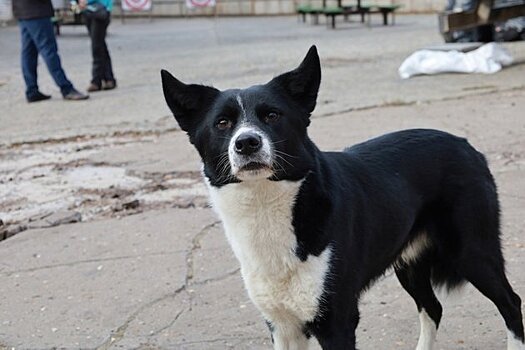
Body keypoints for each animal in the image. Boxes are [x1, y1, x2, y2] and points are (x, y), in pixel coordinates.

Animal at [162, 46, 520, 350]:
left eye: (272, 116)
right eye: (222, 123)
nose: (247, 143)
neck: (267, 204)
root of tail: (465, 144)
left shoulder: (336, 321)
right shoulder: (282, 325)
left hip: (472, 251)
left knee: (511, 303)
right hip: (409, 262)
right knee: (433, 307)